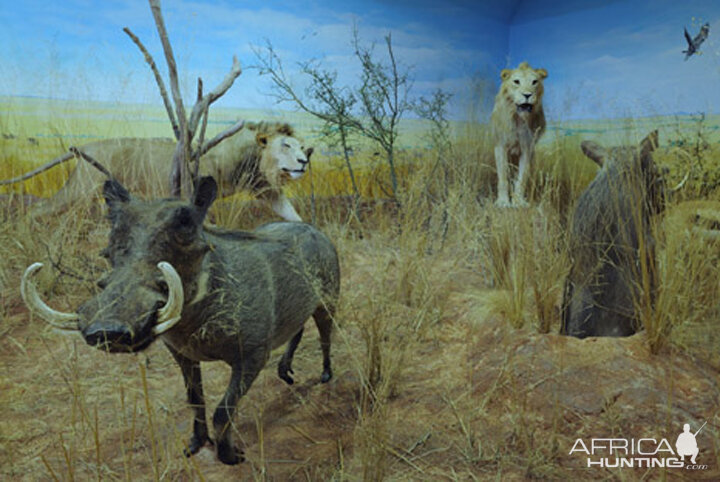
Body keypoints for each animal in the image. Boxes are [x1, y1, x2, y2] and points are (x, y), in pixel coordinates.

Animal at [2, 123, 312, 223]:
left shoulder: (266, 190)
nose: (303, 161)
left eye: (301, 147)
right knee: (39, 208)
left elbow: (291, 213)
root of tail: (86, 146)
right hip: (79, 188)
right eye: (285, 145)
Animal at [492, 61, 548, 206]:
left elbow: (522, 178)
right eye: (516, 81)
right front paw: (503, 201)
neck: (519, 119)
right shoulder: (500, 146)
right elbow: (503, 176)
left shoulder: (527, 148)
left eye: (534, 82)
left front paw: (518, 201)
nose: (527, 95)